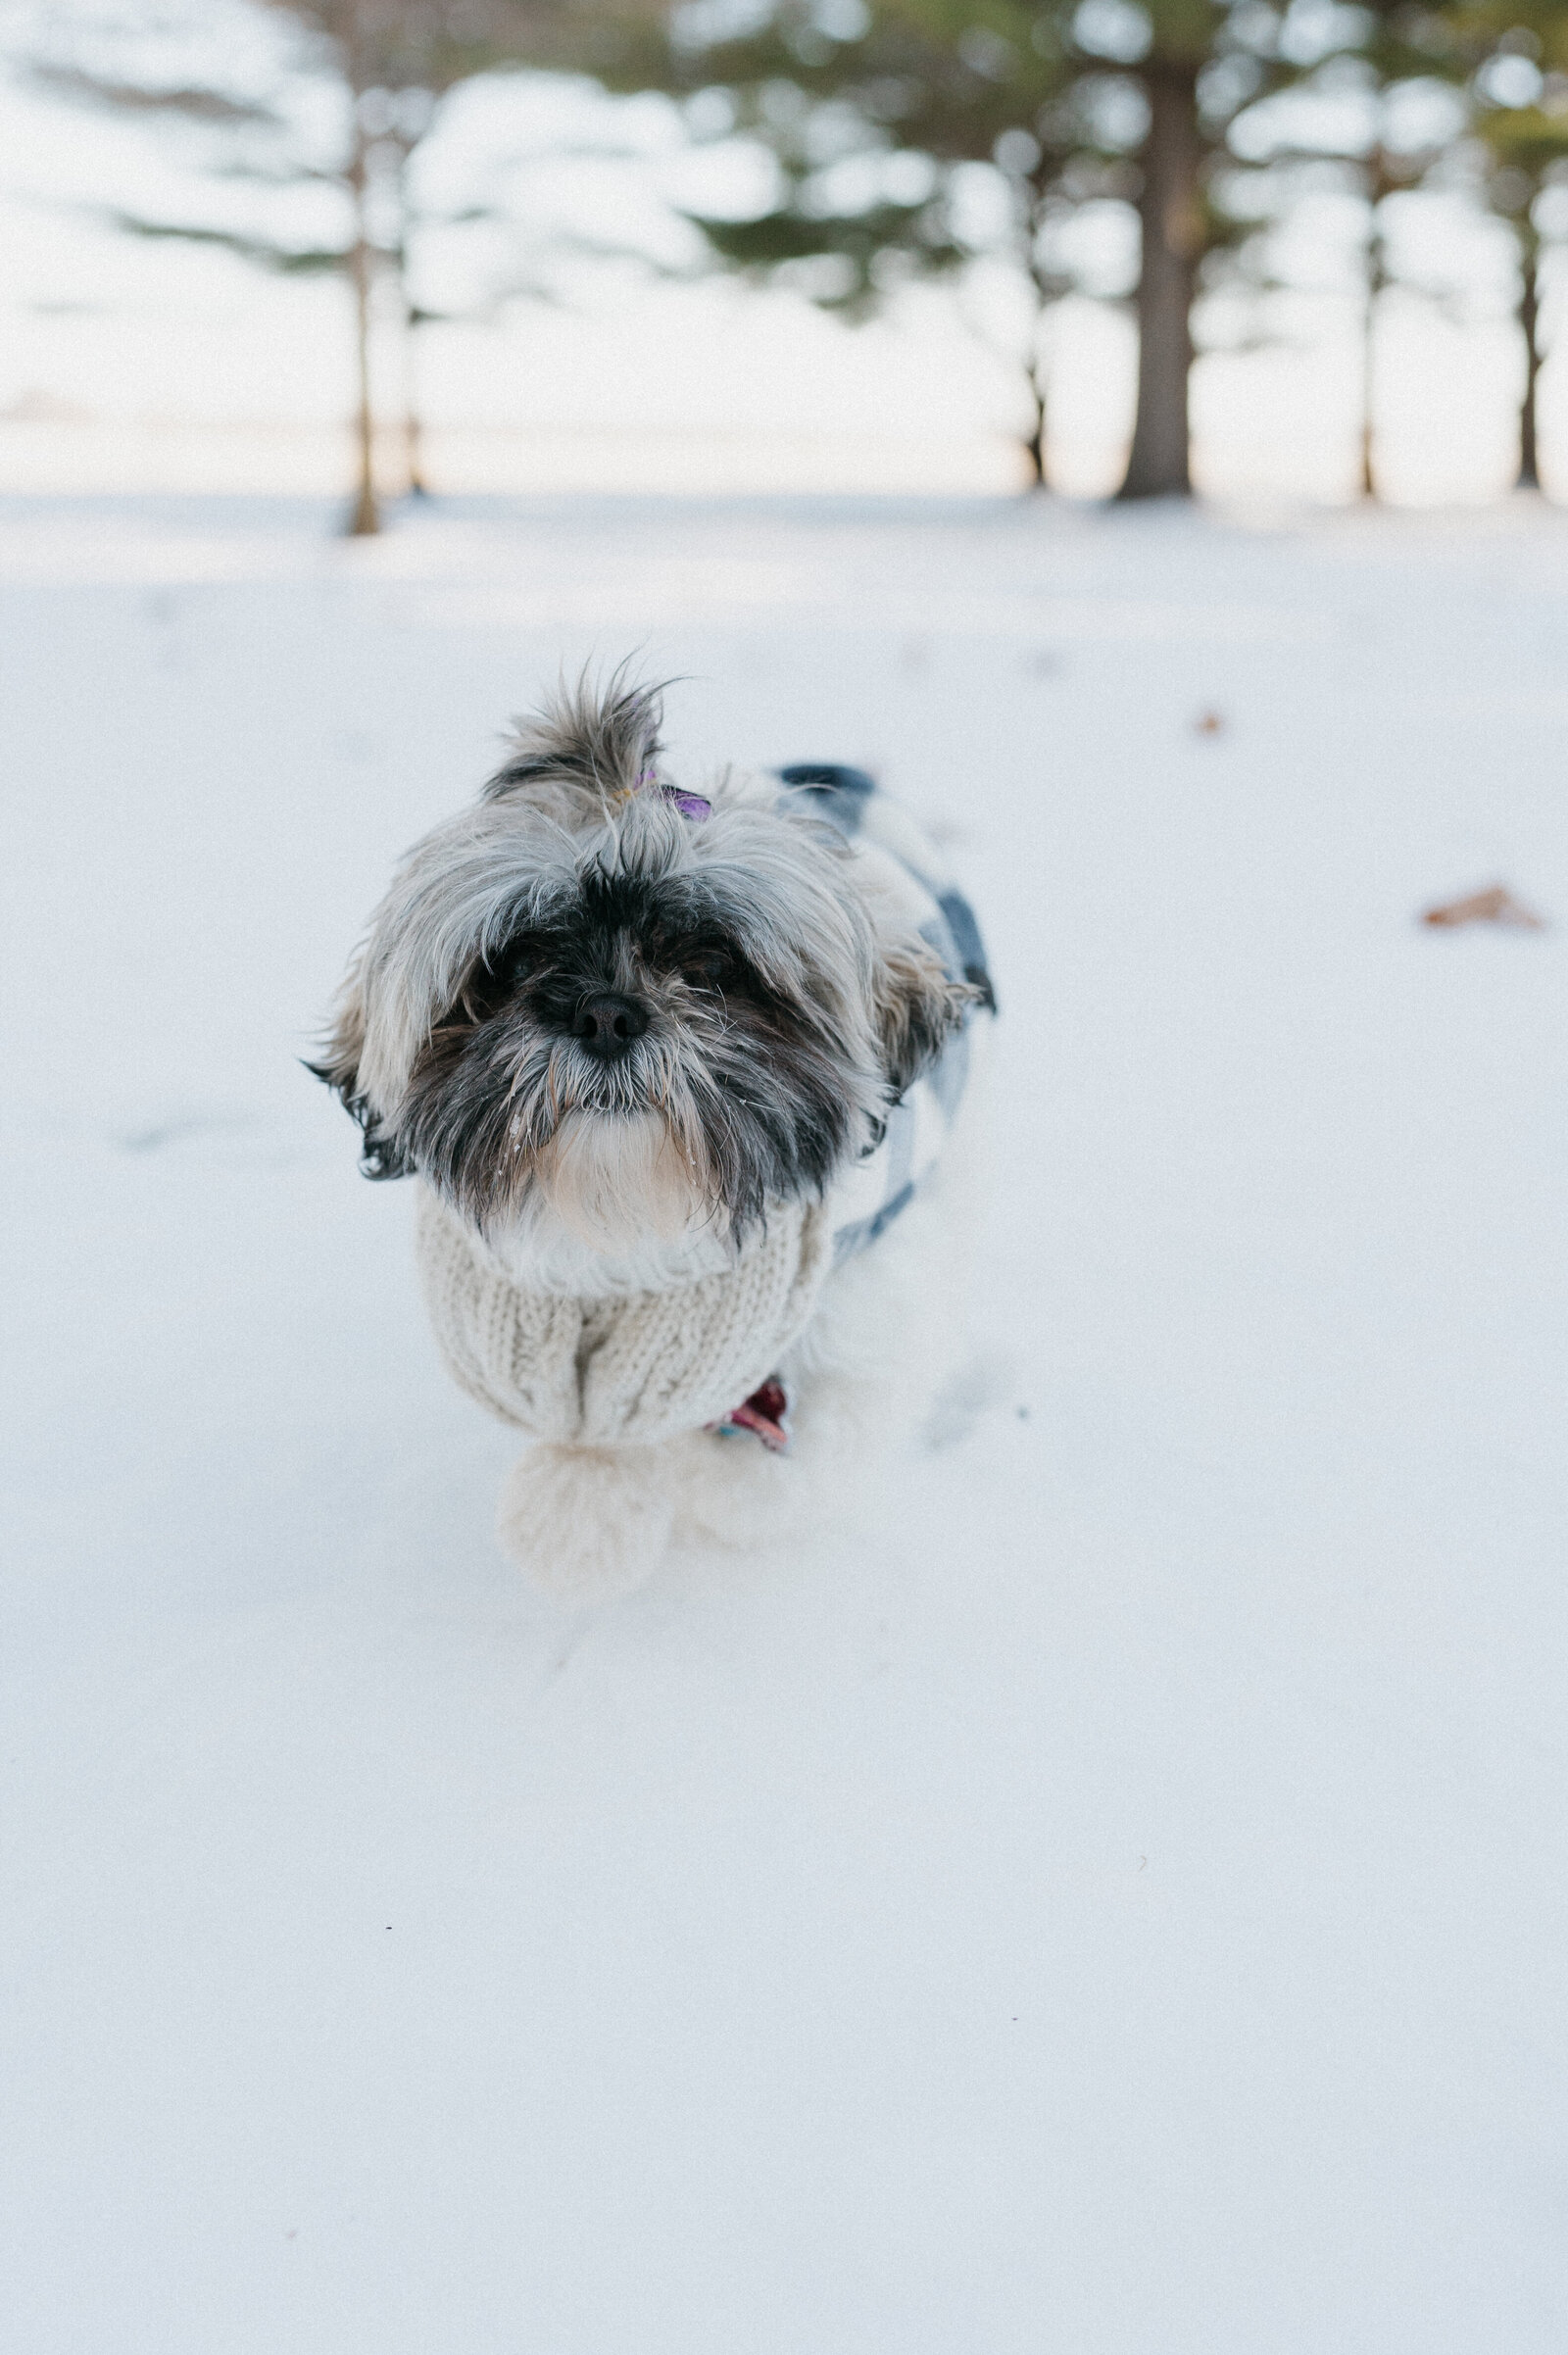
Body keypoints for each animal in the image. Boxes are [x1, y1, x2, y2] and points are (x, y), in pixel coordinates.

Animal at [313, 682, 993, 1601]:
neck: (628, 1236)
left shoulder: (859, 1306)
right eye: (515, 960)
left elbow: (793, 1446)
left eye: (711, 966)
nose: (605, 1013)